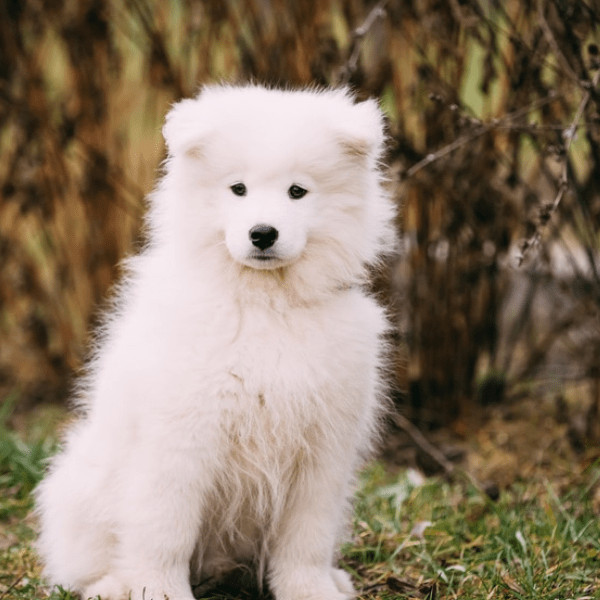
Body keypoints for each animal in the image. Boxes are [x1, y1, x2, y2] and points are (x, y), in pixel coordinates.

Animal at [35, 84, 396, 600]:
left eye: (297, 191)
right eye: (237, 189)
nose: (262, 233)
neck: (265, 305)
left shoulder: (323, 449)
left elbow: (306, 537)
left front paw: (309, 589)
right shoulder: (181, 439)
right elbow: (165, 528)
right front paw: (159, 591)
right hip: (84, 484)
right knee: (86, 560)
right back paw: (113, 585)